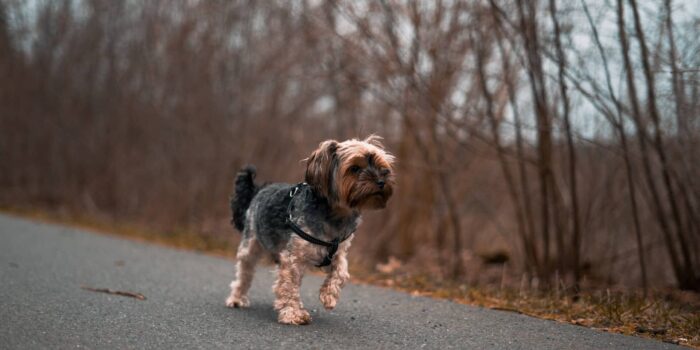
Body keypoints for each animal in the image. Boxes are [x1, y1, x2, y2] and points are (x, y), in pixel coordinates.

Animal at [224, 135, 394, 324]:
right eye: (355, 168)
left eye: (381, 166)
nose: (381, 181)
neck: (335, 214)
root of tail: (260, 189)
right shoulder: (293, 257)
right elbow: (289, 284)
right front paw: (293, 313)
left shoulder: (338, 252)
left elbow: (341, 272)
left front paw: (329, 295)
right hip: (251, 242)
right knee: (244, 271)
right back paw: (237, 299)